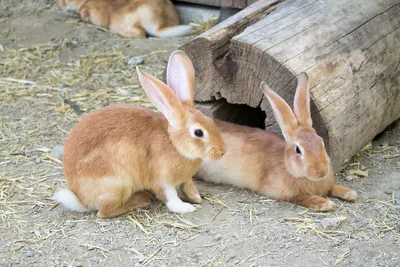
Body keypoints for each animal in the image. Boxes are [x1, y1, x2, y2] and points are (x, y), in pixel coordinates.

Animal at [50, 50, 225, 220]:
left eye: (211, 120)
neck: (174, 143)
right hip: (118, 183)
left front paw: (196, 198)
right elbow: (170, 197)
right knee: (104, 212)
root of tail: (80, 199)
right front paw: (185, 208)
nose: (222, 151)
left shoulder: (184, 178)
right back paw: (140, 200)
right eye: (198, 132)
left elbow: (187, 186)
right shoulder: (161, 179)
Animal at [196, 72, 356, 213]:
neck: (289, 168)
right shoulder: (284, 193)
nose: (321, 172)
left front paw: (350, 193)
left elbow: (333, 188)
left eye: (321, 142)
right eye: (298, 150)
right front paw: (325, 204)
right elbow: (303, 198)